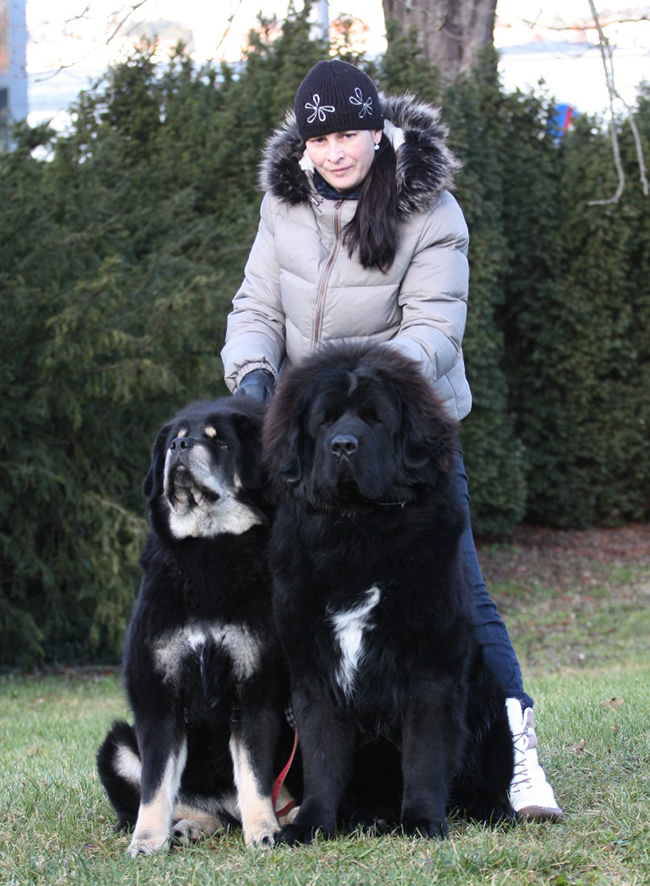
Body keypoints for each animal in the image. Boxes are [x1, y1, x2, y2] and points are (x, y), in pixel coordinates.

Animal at [97, 398, 296, 856]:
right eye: (175, 439)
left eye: (219, 442)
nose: (180, 447)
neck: (208, 547)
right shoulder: (159, 699)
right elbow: (155, 788)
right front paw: (146, 842)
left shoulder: (255, 692)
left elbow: (255, 776)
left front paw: (263, 831)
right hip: (116, 745)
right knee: (197, 807)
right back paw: (186, 827)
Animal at [260, 346, 512, 848]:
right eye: (325, 421)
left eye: (375, 419)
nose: (343, 446)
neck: (357, 528)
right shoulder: (313, 673)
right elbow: (321, 759)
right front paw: (308, 825)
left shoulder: (430, 670)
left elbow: (424, 755)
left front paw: (422, 821)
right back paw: (367, 817)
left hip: (493, 708)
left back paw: (493, 810)